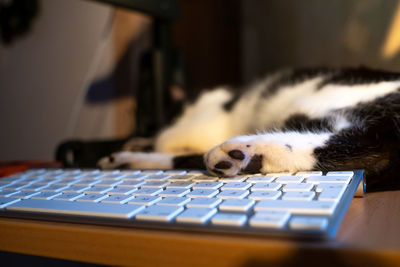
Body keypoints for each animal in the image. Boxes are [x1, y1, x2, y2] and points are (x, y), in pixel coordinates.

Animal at [97, 67, 400, 193]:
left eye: (169, 114)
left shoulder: (198, 124)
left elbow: (166, 140)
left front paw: (144, 142)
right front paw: (137, 141)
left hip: (319, 100)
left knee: (370, 144)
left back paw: (242, 152)